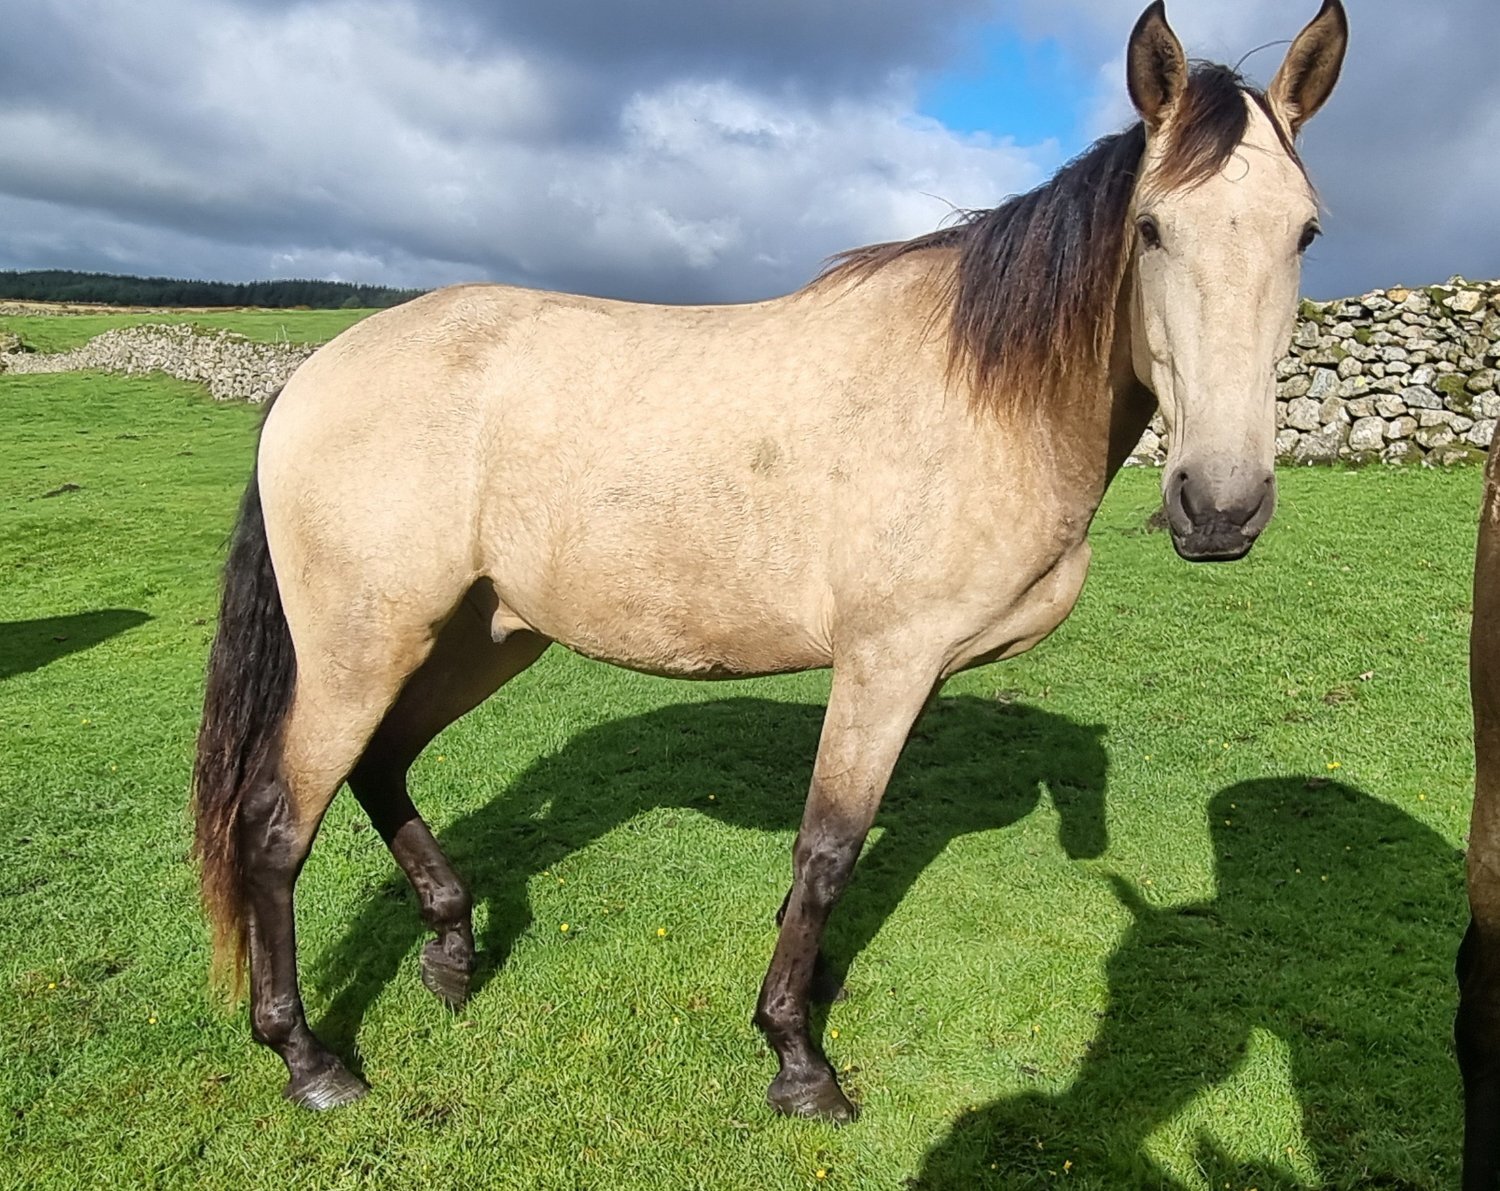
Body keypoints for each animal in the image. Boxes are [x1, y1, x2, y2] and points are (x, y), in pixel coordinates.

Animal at [192, 0, 1347, 1121]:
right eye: (1151, 228)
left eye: (1306, 231)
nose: (1220, 506)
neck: (979, 396)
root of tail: (310, 378)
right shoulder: (884, 663)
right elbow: (829, 847)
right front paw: (797, 1055)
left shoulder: (911, 674)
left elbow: (836, 856)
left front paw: (810, 989)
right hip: (364, 647)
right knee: (276, 824)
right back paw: (307, 1055)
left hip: (481, 636)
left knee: (381, 764)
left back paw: (450, 950)